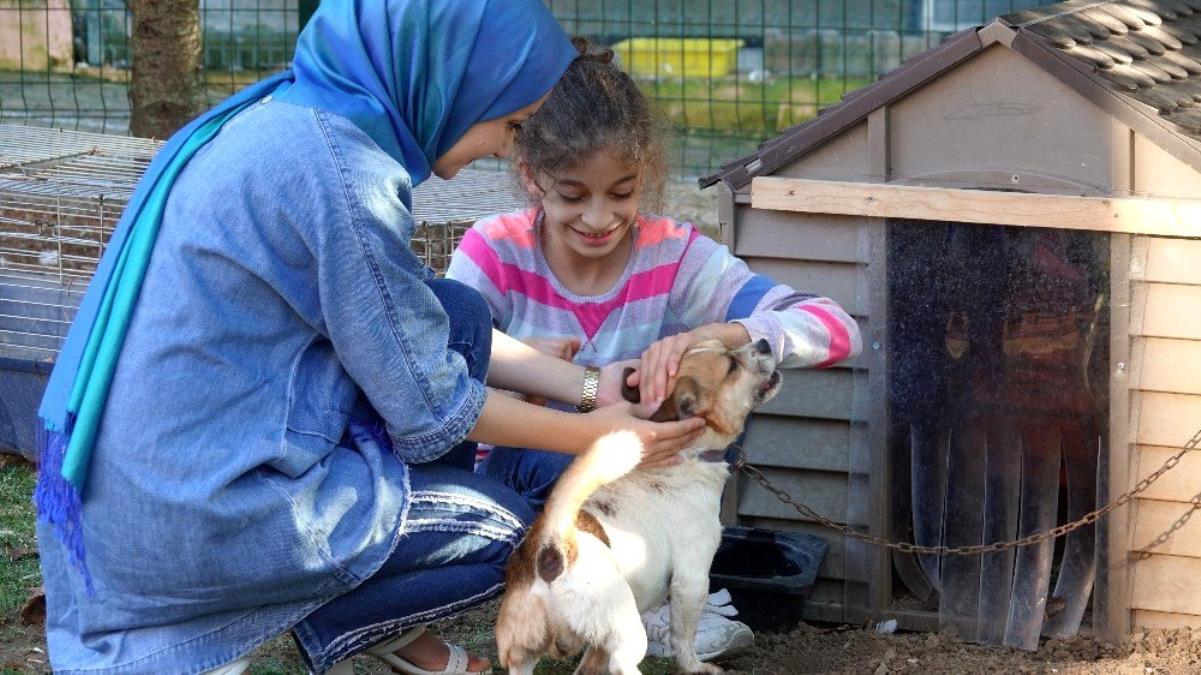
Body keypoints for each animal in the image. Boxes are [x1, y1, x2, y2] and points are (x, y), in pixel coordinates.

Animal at [494, 338, 783, 667]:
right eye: (732, 366)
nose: (763, 342)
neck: (688, 454)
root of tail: (553, 548)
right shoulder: (692, 579)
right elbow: (684, 638)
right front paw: (695, 667)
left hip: (523, 655)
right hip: (627, 636)